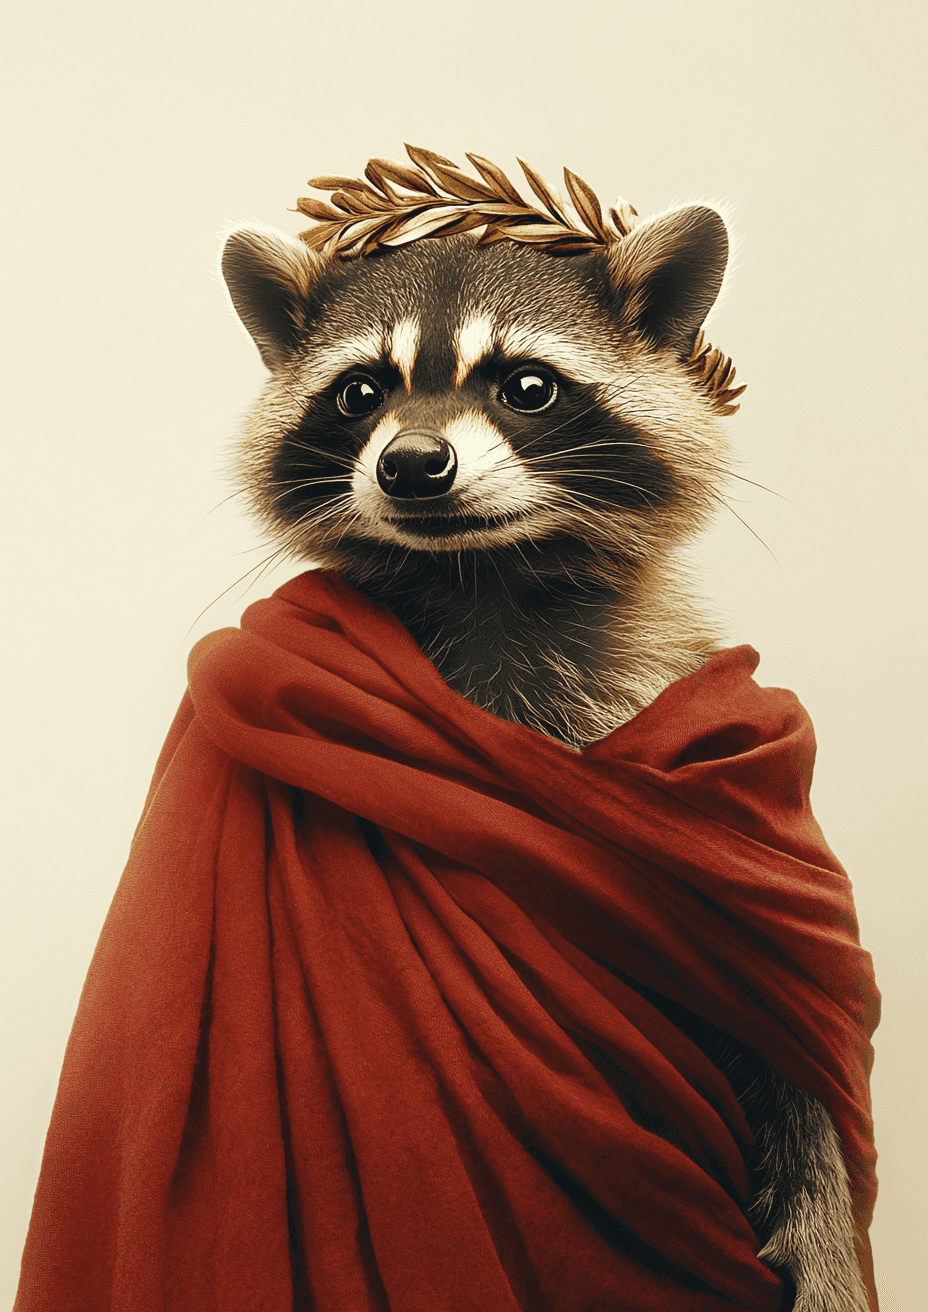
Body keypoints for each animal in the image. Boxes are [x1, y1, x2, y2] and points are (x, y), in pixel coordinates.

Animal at [220, 173, 871, 1312]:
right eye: (359, 393)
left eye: (525, 386)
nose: (413, 465)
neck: (483, 577)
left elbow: (797, 1043)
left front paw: (825, 1226)